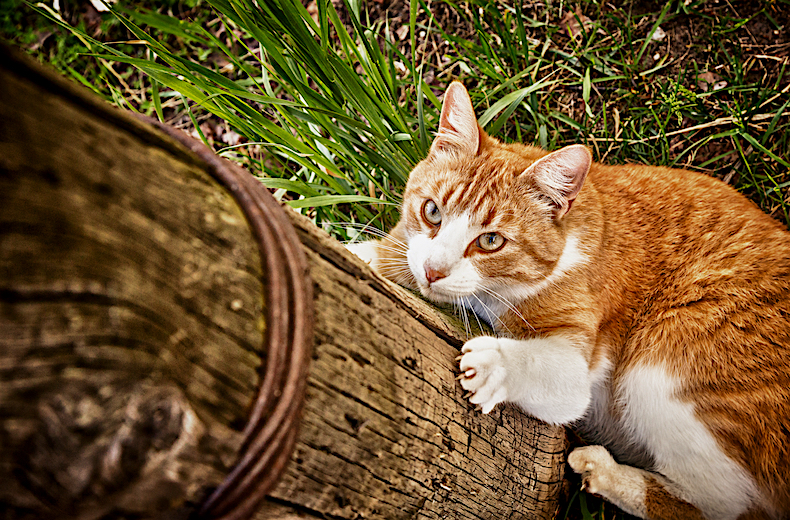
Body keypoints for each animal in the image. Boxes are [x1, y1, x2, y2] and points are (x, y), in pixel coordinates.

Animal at [352, 82, 790, 520]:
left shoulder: (577, 363)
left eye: (491, 241)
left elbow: (549, 372)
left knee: (716, 504)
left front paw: (494, 363)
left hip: (664, 357)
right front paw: (366, 256)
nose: (433, 271)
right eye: (432, 211)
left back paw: (603, 470)